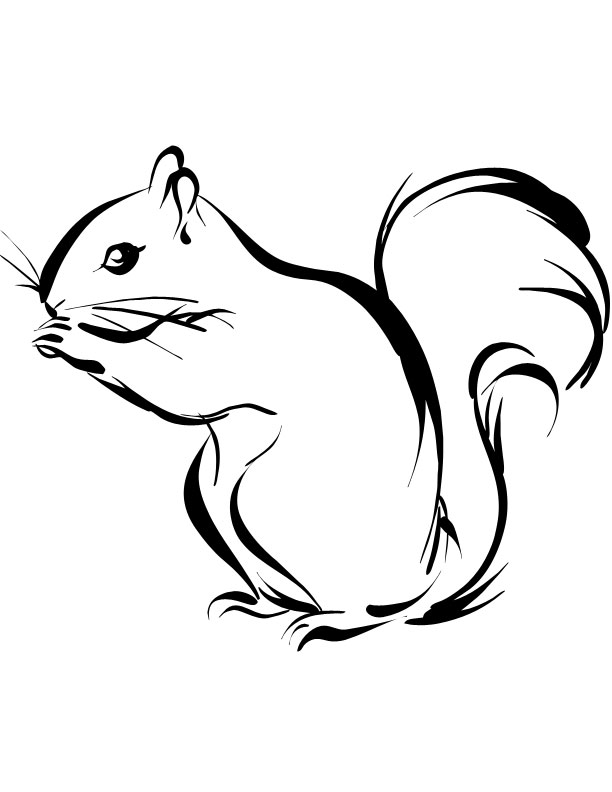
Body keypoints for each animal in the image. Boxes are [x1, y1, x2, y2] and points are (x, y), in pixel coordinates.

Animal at [3, 146, 608, 650]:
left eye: (121, 257)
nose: (51, 302)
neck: (224, 285)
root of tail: (431, 570)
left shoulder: (238, 345)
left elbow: (178, 379)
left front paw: (72, 338)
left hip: (274, 504)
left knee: (379, 610)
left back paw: (328, 624)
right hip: (208, 494)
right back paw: (258, 608)